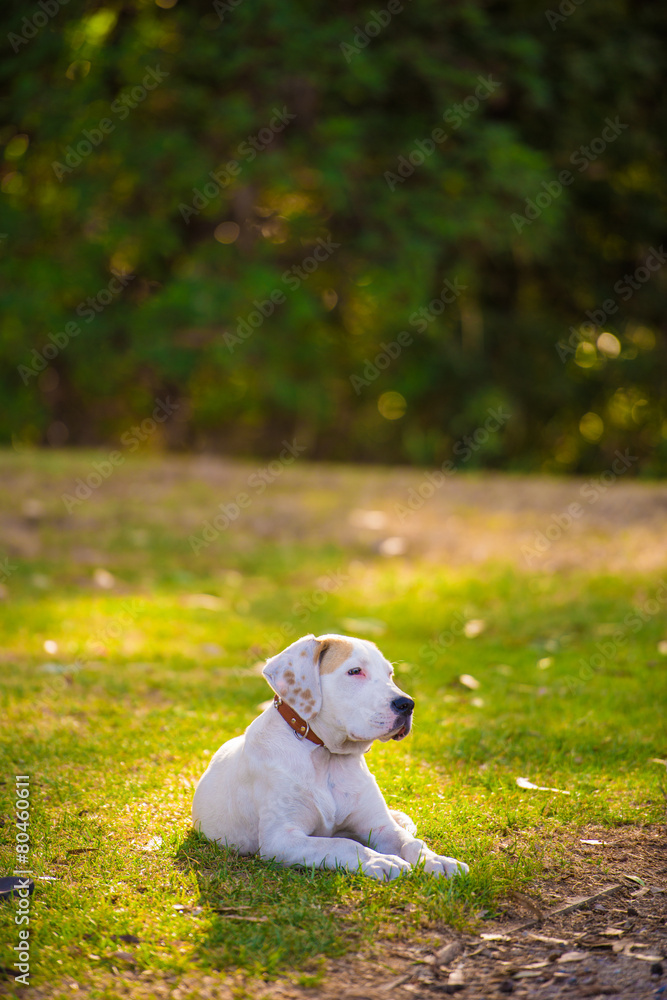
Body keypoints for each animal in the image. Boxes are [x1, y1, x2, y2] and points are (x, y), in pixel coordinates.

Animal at [190, 636, 468, 880]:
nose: (407, 704)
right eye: (355, 671)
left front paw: (438, 860)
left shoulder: (380, 826)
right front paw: (380, 860)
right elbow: (341, 844)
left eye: (390, 673)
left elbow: (412, 843)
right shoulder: (281, 839)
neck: (327, 756)